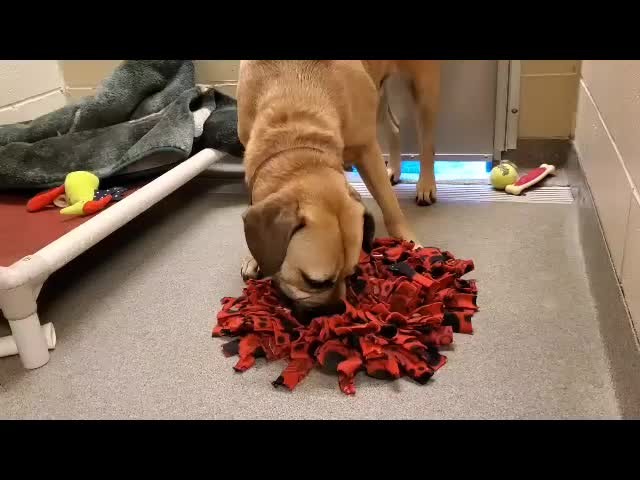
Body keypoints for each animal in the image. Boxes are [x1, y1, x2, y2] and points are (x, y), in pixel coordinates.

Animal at [235, 60, 440, 310]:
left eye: (351, 274)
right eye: (313, 282)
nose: (337, 310)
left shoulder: (367, 149)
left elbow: (390, 205)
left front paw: (409, 244)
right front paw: (255, 257)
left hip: (424, 87)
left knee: (427, 141)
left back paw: (426, 184)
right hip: (378, 94)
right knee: (394, 127)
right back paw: (394, 168)